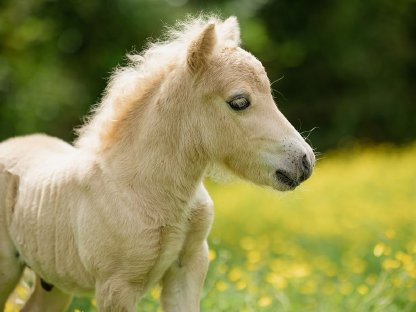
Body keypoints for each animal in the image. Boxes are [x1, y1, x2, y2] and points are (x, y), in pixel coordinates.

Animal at [0, 15, 314, 312]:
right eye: (239, 102)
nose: (305, 161)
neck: (145, 188)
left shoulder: (189, 266)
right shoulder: (116, 288)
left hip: (54, 283)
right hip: (7, 272)